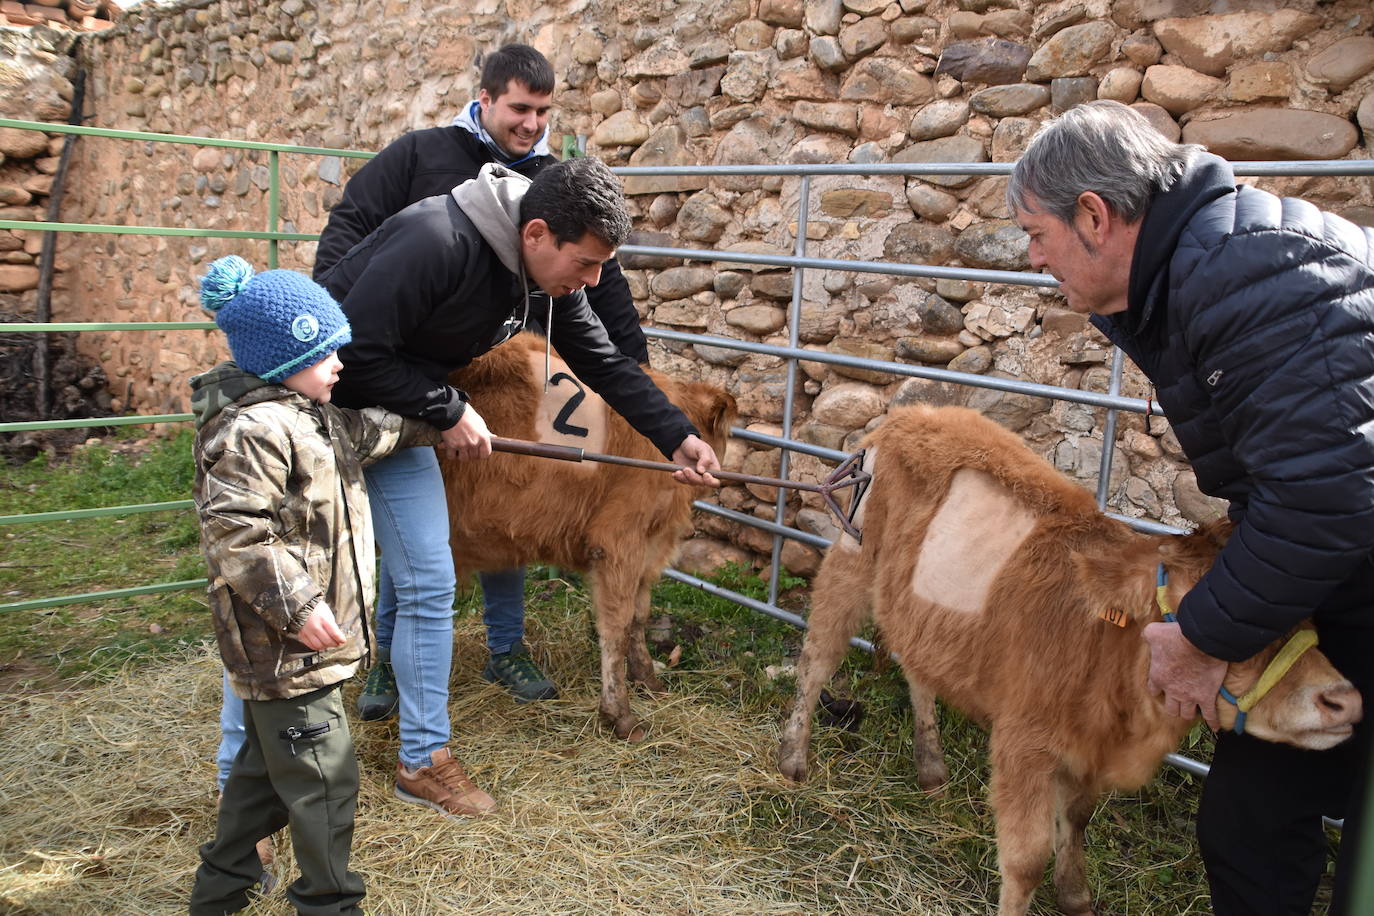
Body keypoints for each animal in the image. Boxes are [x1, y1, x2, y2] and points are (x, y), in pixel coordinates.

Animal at [445, 336, 736, 747]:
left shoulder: (648, 547)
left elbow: (639, 617)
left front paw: (648, 680)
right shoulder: (618, 541)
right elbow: (616, 626)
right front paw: (621, 714)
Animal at [780, 409, 1357, 916]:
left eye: (1306, 617)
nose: (1345, 700)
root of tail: (912, 413)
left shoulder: (1085, 749)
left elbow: (1076, 819)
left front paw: (1075, 894)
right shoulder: (1023, 744)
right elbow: (1027, 859)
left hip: (921, 614)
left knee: (919, 671)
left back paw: (930, 767)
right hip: (851, 561)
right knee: (817, 658)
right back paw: (793, 759)